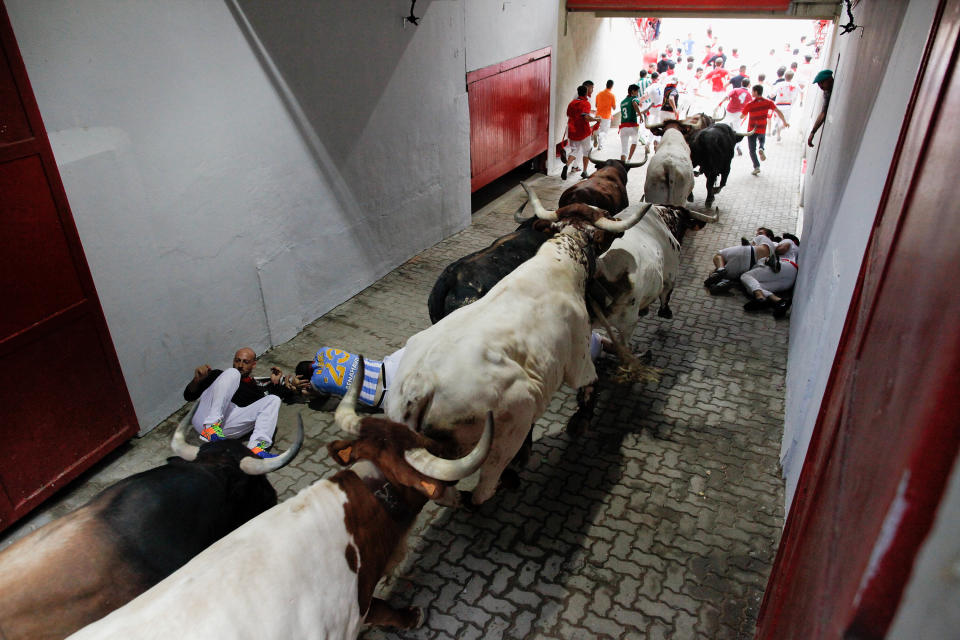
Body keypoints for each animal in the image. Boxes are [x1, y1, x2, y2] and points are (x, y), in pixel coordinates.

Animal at [386, 184, 648, 504]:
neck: (560, 261)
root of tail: (418, 387)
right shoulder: (579, 360)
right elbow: (590, 387)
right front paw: (580, 422)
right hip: (509, 426)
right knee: (479, 490)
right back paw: (508, 476)